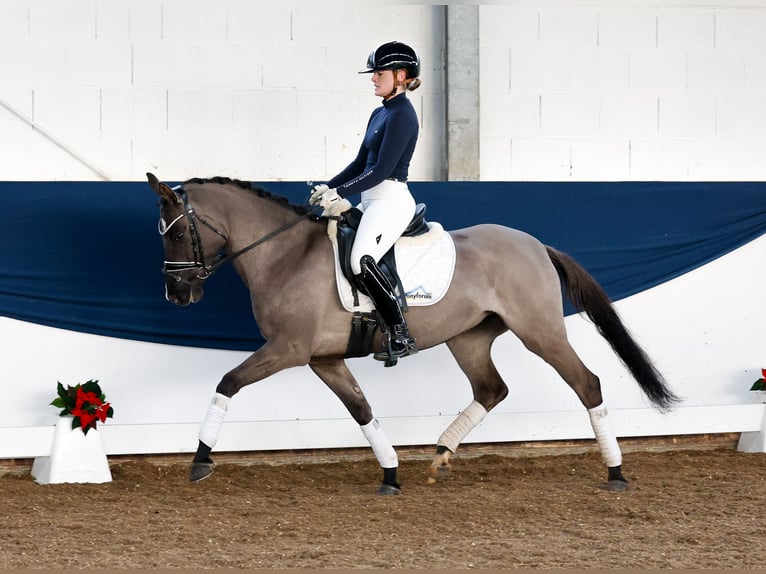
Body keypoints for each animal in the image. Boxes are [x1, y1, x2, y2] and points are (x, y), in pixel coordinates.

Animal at [147, 173, 680, 498]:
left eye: (179, 234)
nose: (176, 294)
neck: (284, 254)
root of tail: (534, 244)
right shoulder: (324, 359)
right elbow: (362, 409)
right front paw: (390, 473)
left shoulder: (287, 350)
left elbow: (228, 383)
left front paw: (200, 460)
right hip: (469, 338)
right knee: (492, 389)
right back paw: (441, 455)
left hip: (540, 331)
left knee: (587, 383)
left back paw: (615, 472)